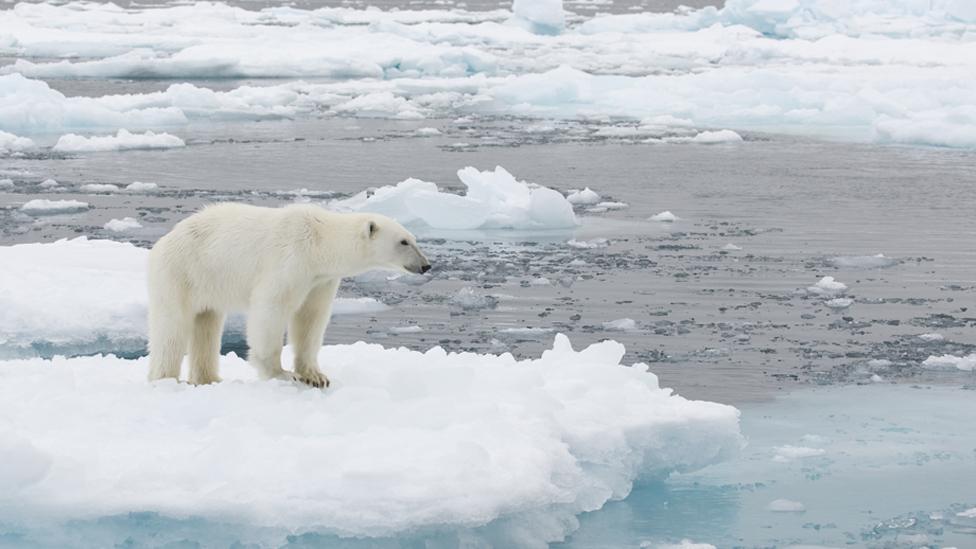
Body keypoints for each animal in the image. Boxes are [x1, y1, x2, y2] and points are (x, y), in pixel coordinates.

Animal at [146, 203, 430, 388]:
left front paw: (316, 376)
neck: (319, 242)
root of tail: (164, 241)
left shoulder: (320, 279)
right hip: (182, 272)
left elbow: (310, 318)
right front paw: (281, 373)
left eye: (414, 239)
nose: (426, 265)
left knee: (207, 323)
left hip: (207, 283)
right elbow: (271, 309)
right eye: (404, 241)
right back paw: (166, 379)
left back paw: (208, 379)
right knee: (172, 328)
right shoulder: (290, 260)